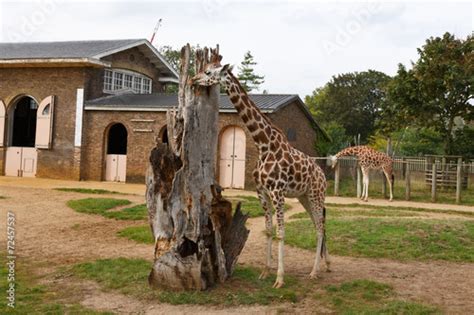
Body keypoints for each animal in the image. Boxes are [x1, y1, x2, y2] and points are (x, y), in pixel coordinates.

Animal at [193, 63, 330, 288]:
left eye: (208, 72)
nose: (194, 79)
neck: (263, 145)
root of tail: (323, 174)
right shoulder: (262, 192)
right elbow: (268, 229)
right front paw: (266, 271)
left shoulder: (277, 192)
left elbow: (281, 232)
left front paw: (280, 279)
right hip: (304, 197)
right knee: (319, 224)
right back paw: (326, 264)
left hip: (316, 195)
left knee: (319, 227)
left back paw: (314, 271)